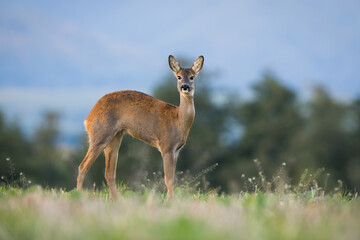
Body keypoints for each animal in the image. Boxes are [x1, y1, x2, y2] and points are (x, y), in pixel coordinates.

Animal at [76, 54, 204, 201]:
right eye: (178, 76)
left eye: (192, 77)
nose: (185, 86)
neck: (178, 119)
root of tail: (88, 117)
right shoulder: (166, 146)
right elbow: (169, 179)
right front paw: (169, 201)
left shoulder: (176, 150)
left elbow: (172, 179)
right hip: (100, 134)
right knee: (83, 166)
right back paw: (79, 195)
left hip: (116, 137)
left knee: (109, 172)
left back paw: (117, 200)